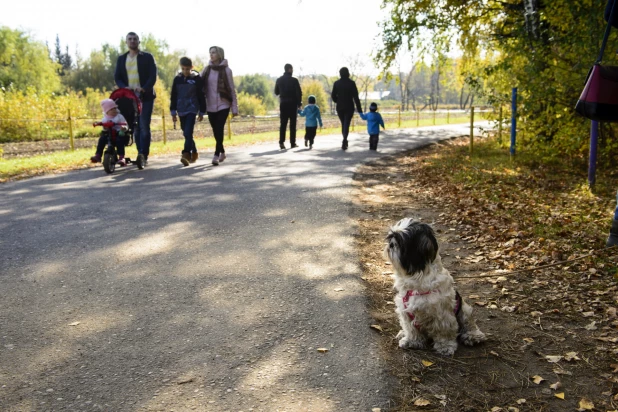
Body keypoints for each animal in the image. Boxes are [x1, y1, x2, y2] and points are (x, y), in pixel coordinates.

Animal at [382, 217, 484, 356]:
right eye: (391, 238)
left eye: (401, 242)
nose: (391, 244)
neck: (417, 278)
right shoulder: (405, 310)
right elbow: (411, 329)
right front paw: (411, 341)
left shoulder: (442, 314)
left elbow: (444, 333)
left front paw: (445, 346)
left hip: (464, 310)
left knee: (469, 324)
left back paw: (473, 335)